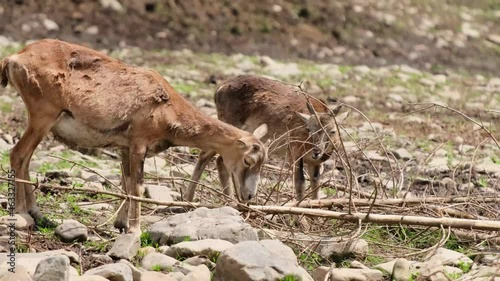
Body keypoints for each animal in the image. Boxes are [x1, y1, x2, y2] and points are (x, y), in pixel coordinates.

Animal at [0, 39, 268, 232]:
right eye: (248, 160)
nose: (249, 196)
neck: (168, 109)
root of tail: (15, 58)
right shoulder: (139, 143)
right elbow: (138, 186)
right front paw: (135, 229)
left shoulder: (124, 147)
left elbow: (126, 184)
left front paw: (120, 223)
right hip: (42, 116)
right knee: (18, 154)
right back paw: (22, 214)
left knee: (25, 159)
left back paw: (38, 214)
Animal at [186, 74, 350, 201]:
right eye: (309, 128)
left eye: (332, 131)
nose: (317, 151)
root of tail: (219, 89)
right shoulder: (295, 153)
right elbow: (300, 183)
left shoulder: (315, 163)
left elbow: (315, 183)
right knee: (212, 157)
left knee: (215, 158)